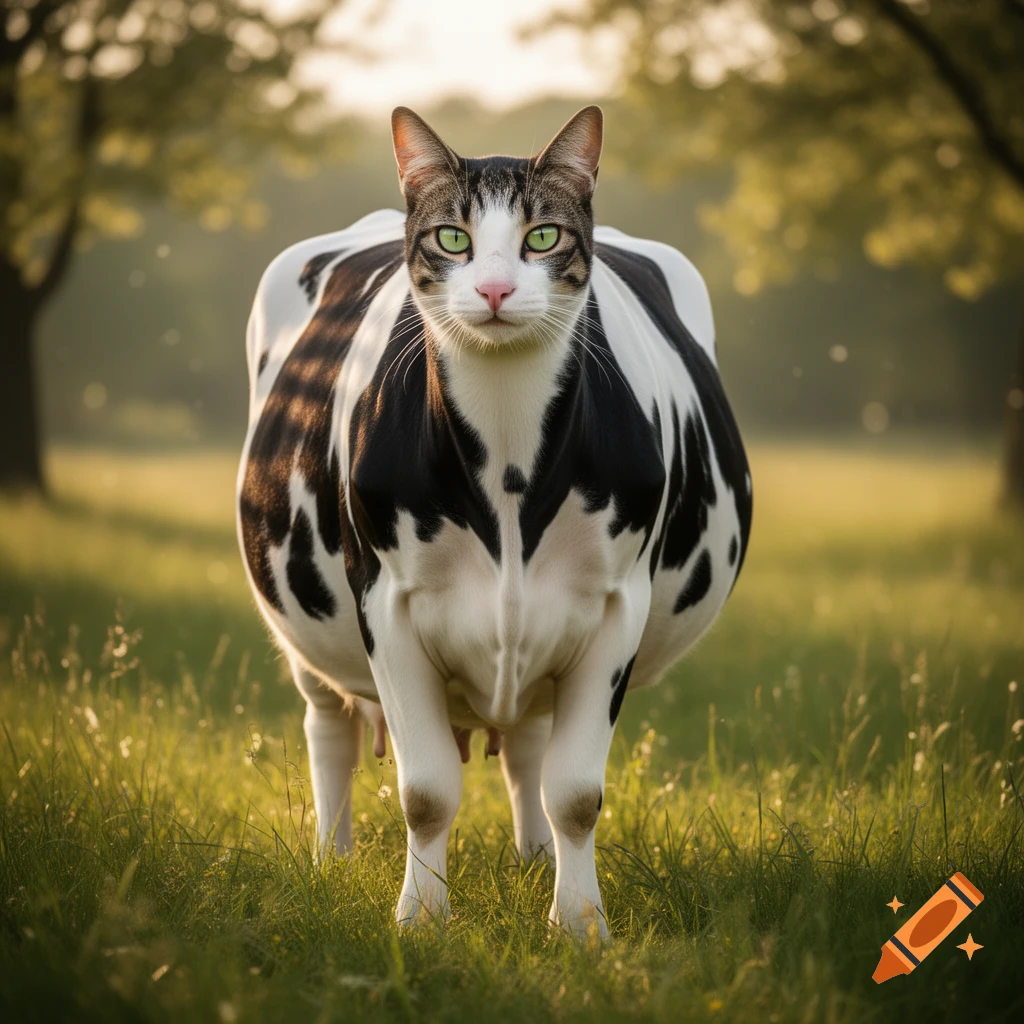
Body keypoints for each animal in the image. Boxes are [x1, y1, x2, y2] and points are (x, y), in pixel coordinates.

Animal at [236, 105, 752, 938]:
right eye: (455, 238)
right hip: (301, 630)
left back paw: (535, 857)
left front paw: (579, 924)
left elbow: (575, 792)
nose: (497, 288)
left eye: (542, 236)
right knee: (329, 730)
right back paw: (329, 859)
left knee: (527, 748)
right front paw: (420, 920)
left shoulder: (616, 604)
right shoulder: (386, 602)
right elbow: (426, 792)